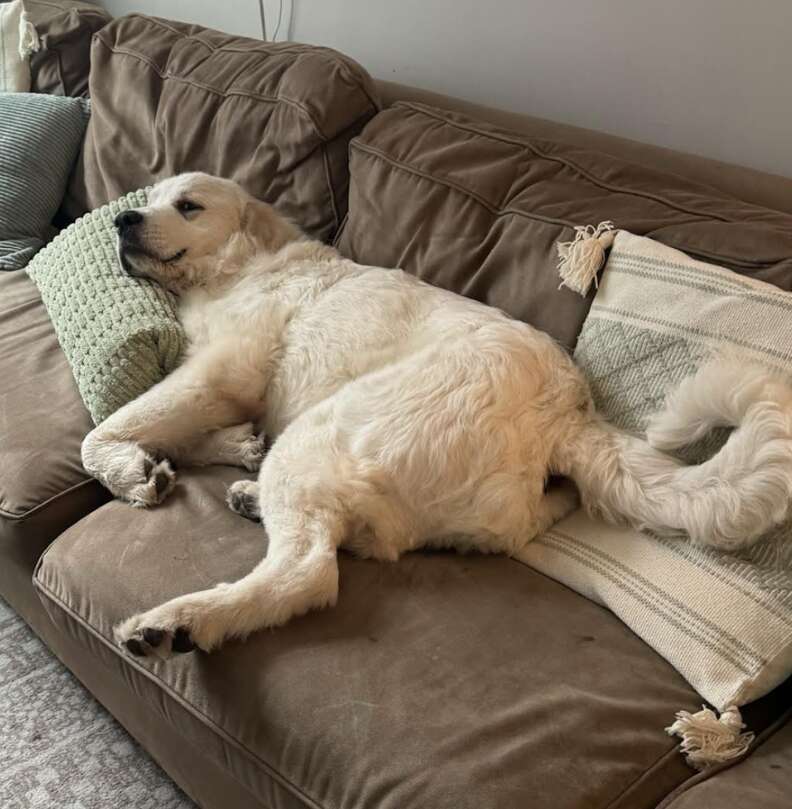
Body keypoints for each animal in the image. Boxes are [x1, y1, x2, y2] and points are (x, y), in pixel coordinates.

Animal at [79, 172, 792, 656]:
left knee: (308, 574)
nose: (123, 219)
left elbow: (107, 428)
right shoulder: (217, 383)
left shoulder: (217, 373)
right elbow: (179, 430)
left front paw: (128, 471)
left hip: (322, 432)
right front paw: (223, 448)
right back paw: (250, 496)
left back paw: (180, 622)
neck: (242, 266)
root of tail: (565, 415)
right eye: (153, 196)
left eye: (188, 205)